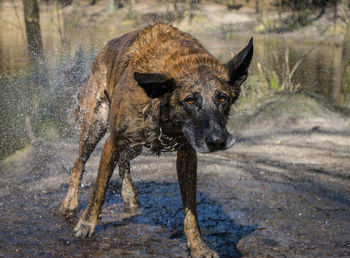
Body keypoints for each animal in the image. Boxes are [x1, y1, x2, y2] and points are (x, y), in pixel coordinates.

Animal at [58, 23, 253, 256]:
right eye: (190, 100)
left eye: (222, 99)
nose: (218, 140)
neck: (161, 103)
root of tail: (103, 51)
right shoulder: (113, 141)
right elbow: (99, 188)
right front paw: (87, 224)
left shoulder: (187, 154)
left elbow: (191, 211)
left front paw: (198, 246)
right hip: (96, 128)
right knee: (79, 163)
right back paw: (69, 202)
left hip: (136, 145)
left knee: (124, 162)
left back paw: (129, 194)